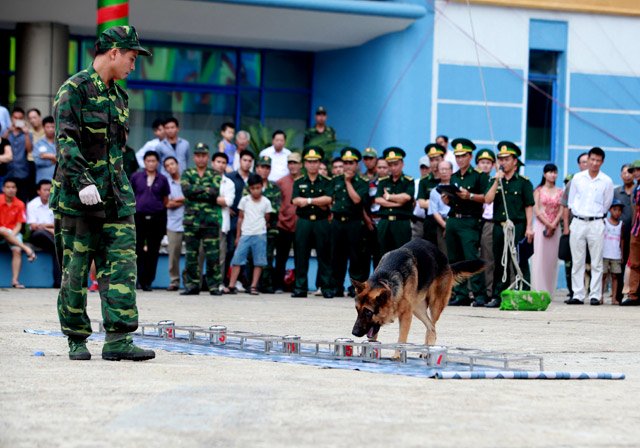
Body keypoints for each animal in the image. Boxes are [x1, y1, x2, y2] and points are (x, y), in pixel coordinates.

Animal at [352, 242, 482, 346]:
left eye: (368, 312)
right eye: (357, 310)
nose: (354, 333)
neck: (386, 278)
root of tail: (446, 262)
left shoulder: (406, 316)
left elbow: (401, 340)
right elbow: (373, 337)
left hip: (435, 306)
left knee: (432, 327)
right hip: (417, 309)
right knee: (430, 326)